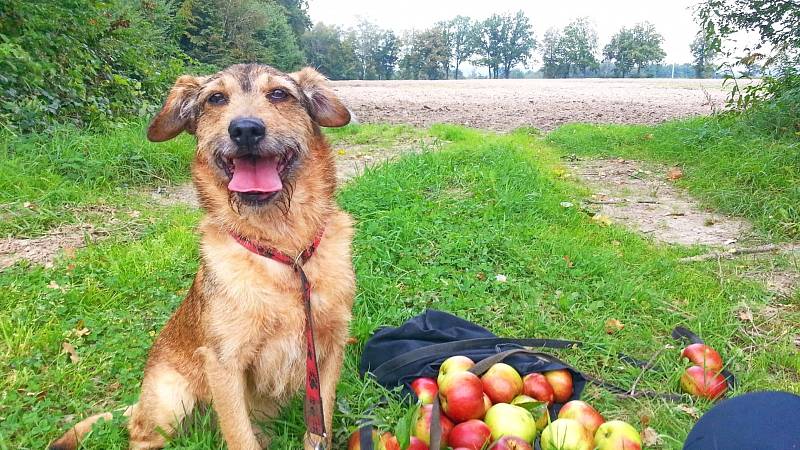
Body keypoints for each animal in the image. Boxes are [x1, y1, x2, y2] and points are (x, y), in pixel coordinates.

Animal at [51, 64, 358, 450]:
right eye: (216, 98)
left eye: (278, 94)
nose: (245, 129)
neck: (284, 249)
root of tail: (140, 402)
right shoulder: (224, 363)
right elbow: (240, 436)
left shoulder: (327, 350)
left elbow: (320, 426)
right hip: (173, 398)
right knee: (139, 433)